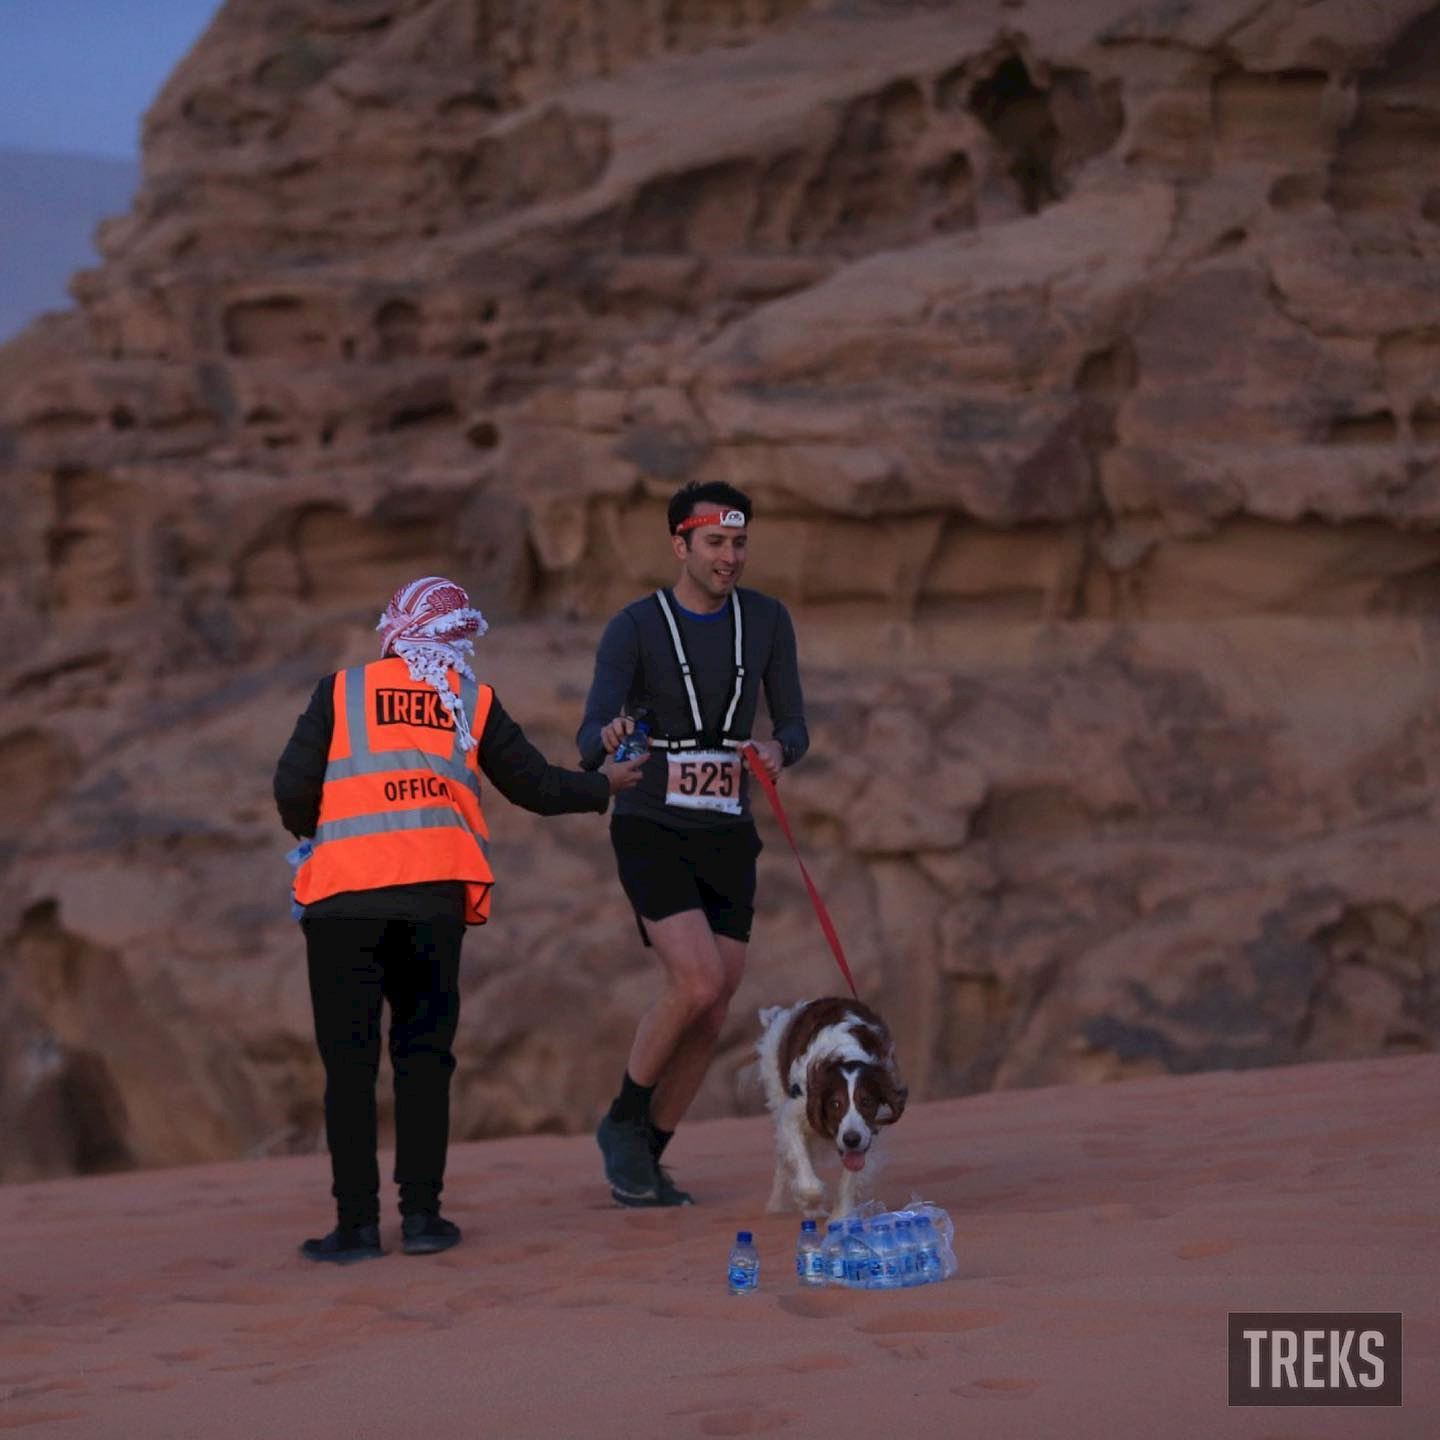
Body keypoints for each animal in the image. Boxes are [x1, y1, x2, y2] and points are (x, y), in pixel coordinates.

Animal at [760, 1002, 904, 1215]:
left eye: (867, 1101)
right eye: (835, 1104)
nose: (851, 1139)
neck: (845, 1056)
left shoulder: (867, 1132)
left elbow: (851, 1177)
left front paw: (840, 1216)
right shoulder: (794, 1113)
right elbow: (808, 1181)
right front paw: (808, 1204)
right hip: (777, 1091)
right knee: (783, 1159)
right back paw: (775, 1205)